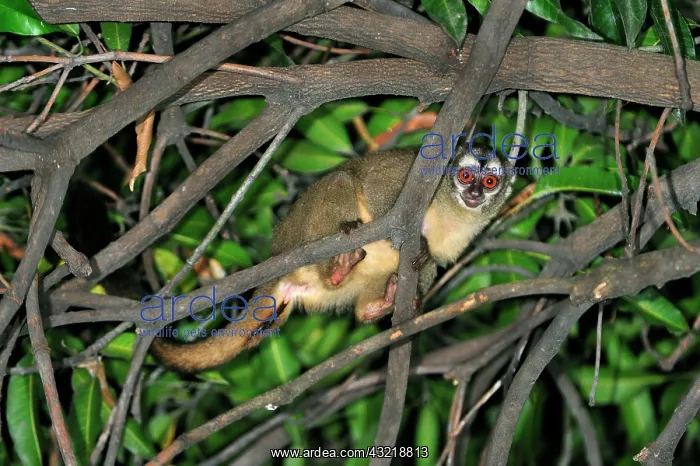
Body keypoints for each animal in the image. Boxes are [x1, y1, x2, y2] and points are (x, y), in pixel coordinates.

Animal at [150, 144, 516, 372]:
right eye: (466, 176)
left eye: (490, 181)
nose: (474, 193)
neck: (452, 208)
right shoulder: (418, 173)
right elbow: (379, 188)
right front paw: (410, 236)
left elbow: (434, 262)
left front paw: (413, 280)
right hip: (299, 232)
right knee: (341, 181)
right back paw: (338, 265)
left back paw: (380, 302)